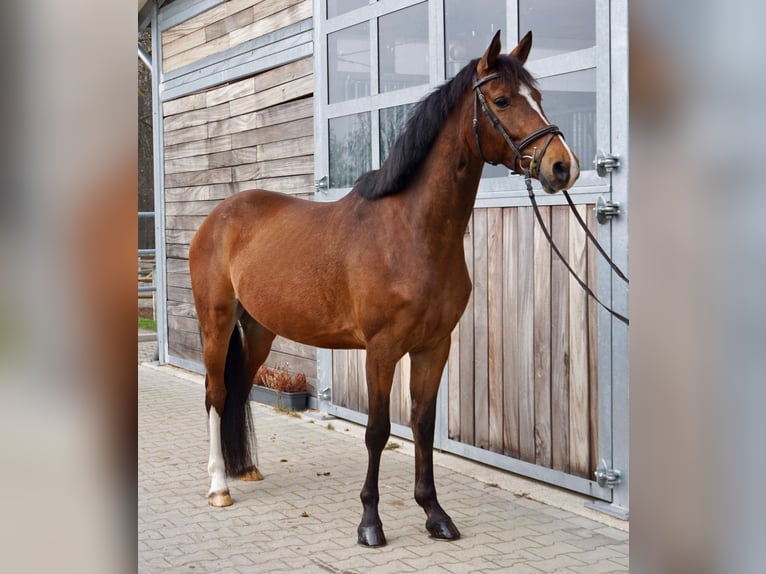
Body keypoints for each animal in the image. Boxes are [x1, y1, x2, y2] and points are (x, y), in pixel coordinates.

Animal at [189, 30, 579, 548]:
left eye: (539, 97)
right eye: (502, 100)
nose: (563, 167)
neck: (412, 232)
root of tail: (219, 216)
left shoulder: (434, 346)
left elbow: (423, 425)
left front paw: (435, 514)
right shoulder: (381, 350)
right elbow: (377, 430)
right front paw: (370, 523)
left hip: (259, 330)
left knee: (240, 388)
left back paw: (246, 469)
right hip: (215, 323)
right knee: (215, 393)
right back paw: (218, 486)